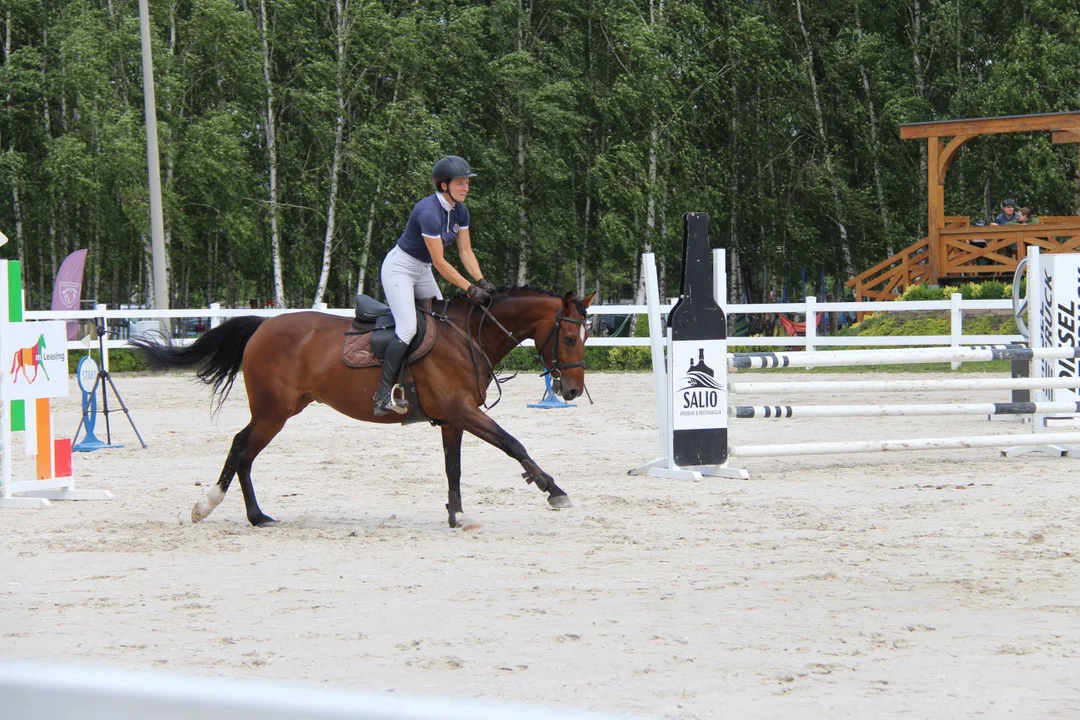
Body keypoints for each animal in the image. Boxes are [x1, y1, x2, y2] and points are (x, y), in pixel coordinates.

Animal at [132, 287, 600, 528]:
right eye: (570, 338)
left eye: (586, 336)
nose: (573, 390)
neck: (468, 335)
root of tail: (264, 325)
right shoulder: (463, 411)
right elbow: (513, 444)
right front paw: (554, 490)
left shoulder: (454, 417)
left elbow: (453, 467)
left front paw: (457, 515)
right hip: (273, 413)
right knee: (242, 448)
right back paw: (220, 508)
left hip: (280, 411)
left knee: (242, 449)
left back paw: (251, 513)